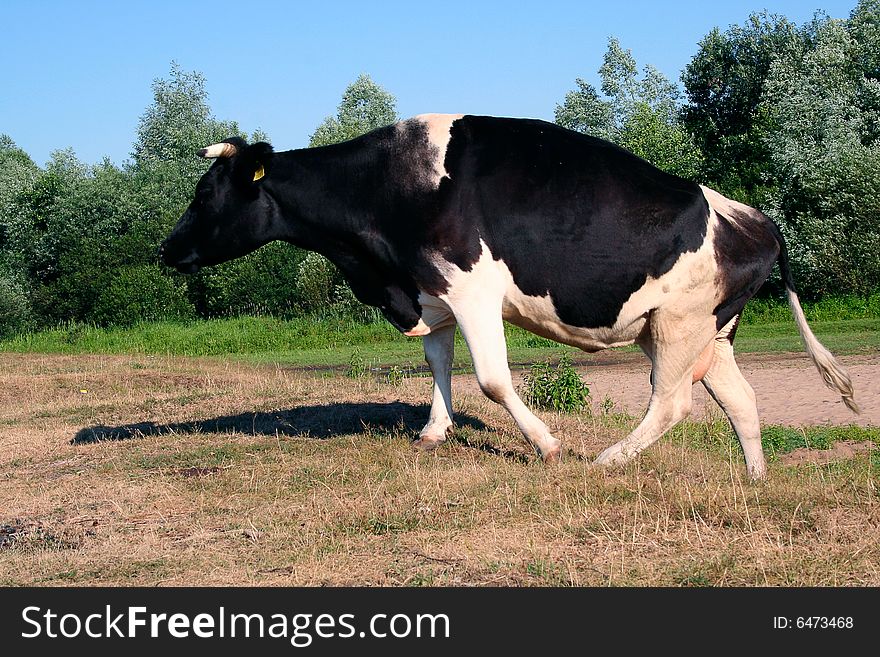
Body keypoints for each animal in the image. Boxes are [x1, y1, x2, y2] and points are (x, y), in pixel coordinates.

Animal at [155, 115, 856, 480]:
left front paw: (546, 445)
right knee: (740, 398)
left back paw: (606, 459)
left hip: (679, 325)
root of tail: (750, 214)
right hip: (708, 329)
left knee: (673, 402)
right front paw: (434, 432)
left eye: (204, 194)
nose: (165, 250)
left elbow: (491, 378)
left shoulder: (472, 290)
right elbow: (438, 363)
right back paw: (755, 480)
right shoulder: (432, 289)